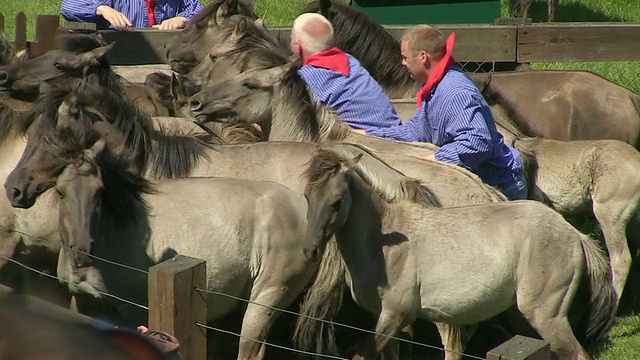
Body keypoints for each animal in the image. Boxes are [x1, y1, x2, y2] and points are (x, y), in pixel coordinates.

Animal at [302, 147, 620, 360]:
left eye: (337, 201)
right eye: (306, 196)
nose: (310, 249)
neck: (384, 244)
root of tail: (575, 236)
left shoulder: (394, 315)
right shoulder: (387, 321)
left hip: (547, 315)